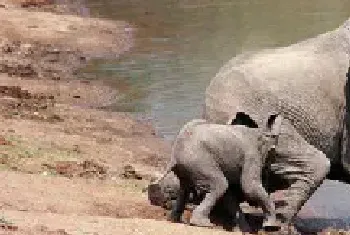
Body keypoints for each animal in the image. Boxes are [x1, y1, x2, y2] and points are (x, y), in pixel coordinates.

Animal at [152, 113, 282, 231]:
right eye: (273, 156)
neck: (260, 132)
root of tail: (174, 154)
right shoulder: (251, 155)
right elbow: (249, 187)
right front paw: (272, 227)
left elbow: (230, 195)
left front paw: (244, 230)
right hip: (199, 160)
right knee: (219, 184)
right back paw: (204, 224)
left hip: (188, 165)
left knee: (185, 187)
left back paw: (174, 220)